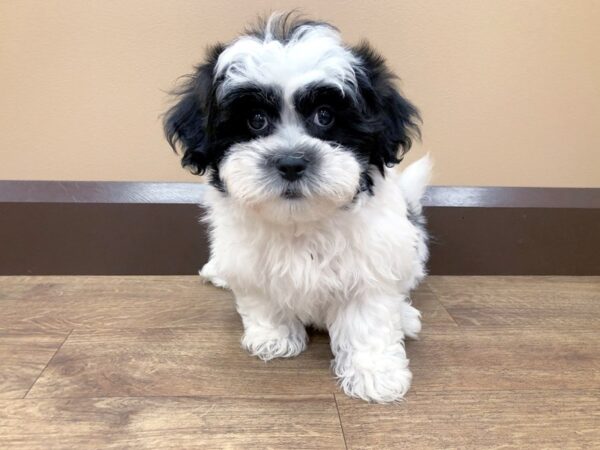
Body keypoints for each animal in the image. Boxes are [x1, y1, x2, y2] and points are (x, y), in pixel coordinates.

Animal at [164, 12, 432, 402]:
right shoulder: (251, 266)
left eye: (325, 116)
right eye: (256, 120)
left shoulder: (370, 266)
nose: (291, 162)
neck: (300, 223)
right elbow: (263, 302)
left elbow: (368, 321)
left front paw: (375, 374)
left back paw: (406, 317)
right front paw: (273, 338)